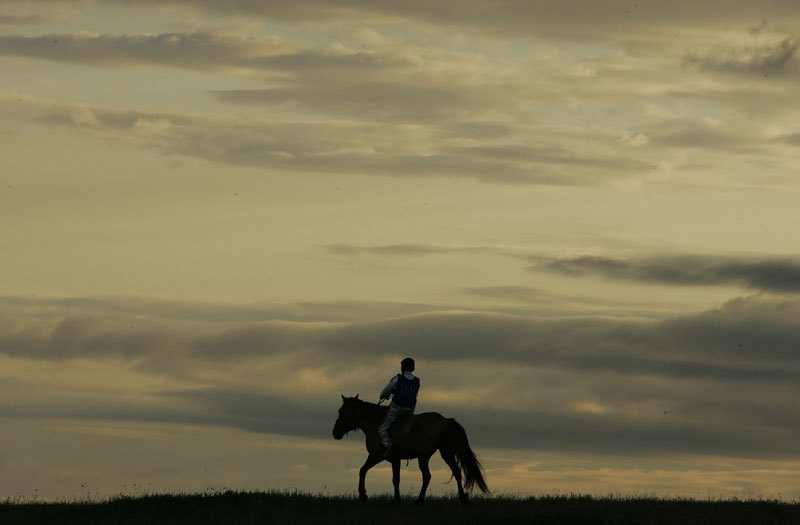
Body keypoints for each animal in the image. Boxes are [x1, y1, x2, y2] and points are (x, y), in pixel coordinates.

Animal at [332, 392, 488, 504]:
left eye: (341, 411)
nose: (335, 433)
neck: (374, 422)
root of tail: (445, 421)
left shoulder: (376, 455)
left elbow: (362, 470)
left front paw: (363, 495)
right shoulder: (395, 459)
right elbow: (396, 479)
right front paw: (396, 499)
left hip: (423, 457)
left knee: (427, 476)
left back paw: (419, 501)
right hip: (446, 453)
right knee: (456, 471)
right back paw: (463, 499)